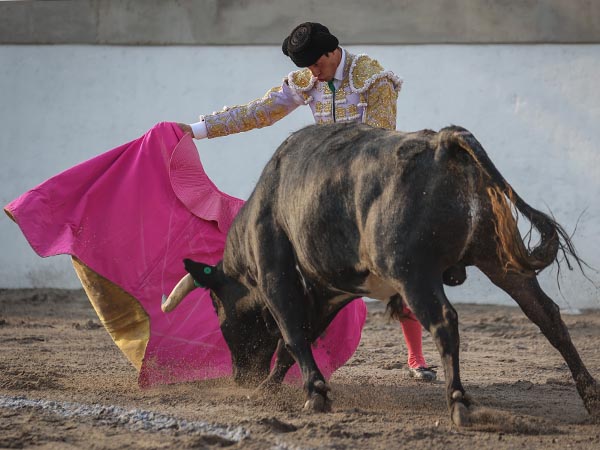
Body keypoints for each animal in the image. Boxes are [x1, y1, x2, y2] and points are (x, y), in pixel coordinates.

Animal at [162, 123, 596, 426]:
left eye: (217, 309)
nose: (242, 379)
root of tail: (444, 143)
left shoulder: (275, 273)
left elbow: (291, 330)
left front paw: (314, 394)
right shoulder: (328, 289)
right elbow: (299, 335)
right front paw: (273, 388)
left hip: (413, 272)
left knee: (444, 321)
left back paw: (458, 404)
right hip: (499, 261)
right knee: (546, 315)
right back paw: (590, 395)